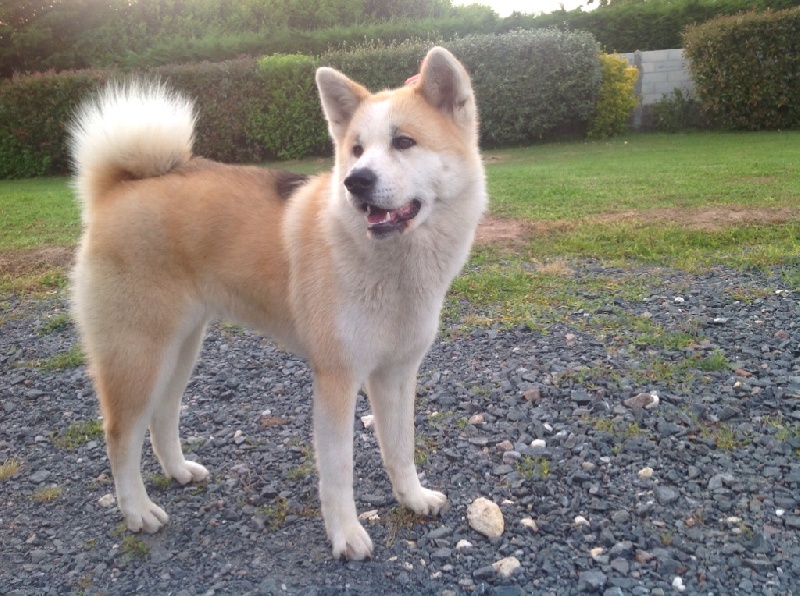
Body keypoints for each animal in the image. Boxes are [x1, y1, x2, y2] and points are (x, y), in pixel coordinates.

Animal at [68, 46, 486, 560]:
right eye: (356, 149)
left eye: (404, 142)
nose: (356, 181)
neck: (393, 267)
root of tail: (120, 186)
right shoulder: (337, 379)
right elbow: (339, 471)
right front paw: (345, 534)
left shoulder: (397, 373)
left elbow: (400, 448)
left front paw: (412, 498)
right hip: (138, 353)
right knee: (120, 436)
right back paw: (138, 511)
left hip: (181, 347)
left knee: (163, 414)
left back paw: (179, 471)